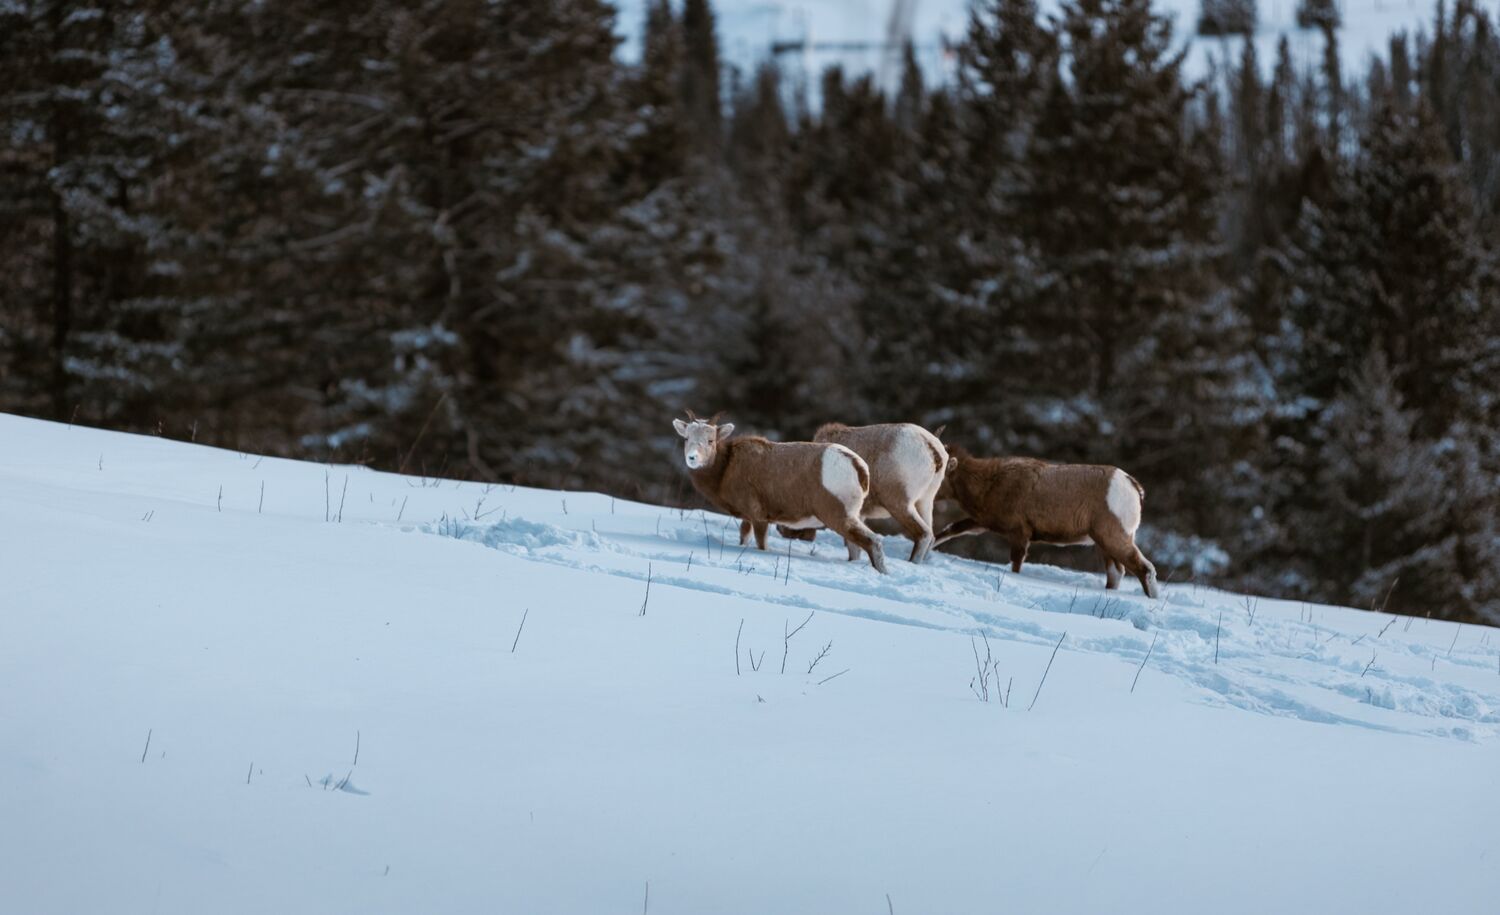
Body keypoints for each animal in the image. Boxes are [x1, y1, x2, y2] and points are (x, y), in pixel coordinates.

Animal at [672, 411, 887, 573]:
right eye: (686, 438)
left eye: (710, 440)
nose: (692, 458)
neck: (725, 470)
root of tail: (859, 468)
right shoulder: (748, 518)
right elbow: (744, 536)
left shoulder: (759, 518)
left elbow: (761, 545)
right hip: (852, 517)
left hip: (839, 516)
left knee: (873, 542)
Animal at [774, 422, 951, 564]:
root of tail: (932, 449)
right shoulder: (859, 515)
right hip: (924, 502)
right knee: (932, 536)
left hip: (900, 505)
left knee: (924, 534)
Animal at [934, 447, 1159, 597]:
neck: (990, 483)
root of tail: (1133, 486)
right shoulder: (981, 523)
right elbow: (951, 529)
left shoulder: (1019, 534)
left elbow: (1016, 563)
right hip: (1105, 544)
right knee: (1116, 573)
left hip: (1113, 538)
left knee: (1144, 569)